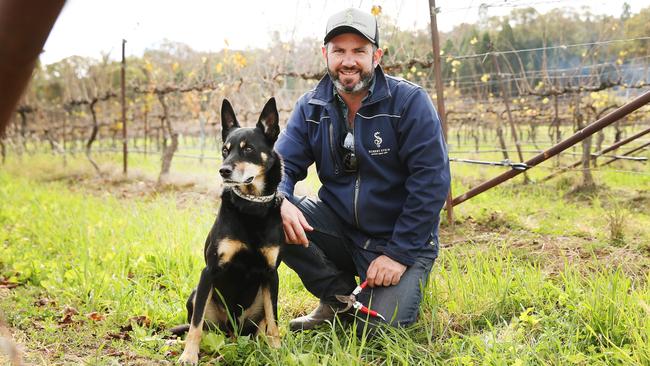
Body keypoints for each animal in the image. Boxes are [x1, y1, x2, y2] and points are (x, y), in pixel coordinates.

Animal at [177, 98, 280, 364]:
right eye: (225, 150)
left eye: (248, 149)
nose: (223, 170)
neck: (251, 207)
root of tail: (233, 332)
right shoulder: (209, 271)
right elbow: (196, 325)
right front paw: (189, 355)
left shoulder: (271, 274)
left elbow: (274, 320)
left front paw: (278, 350)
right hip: (197, 294)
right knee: (202, 325)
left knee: (261, 327)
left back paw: (260, 344)